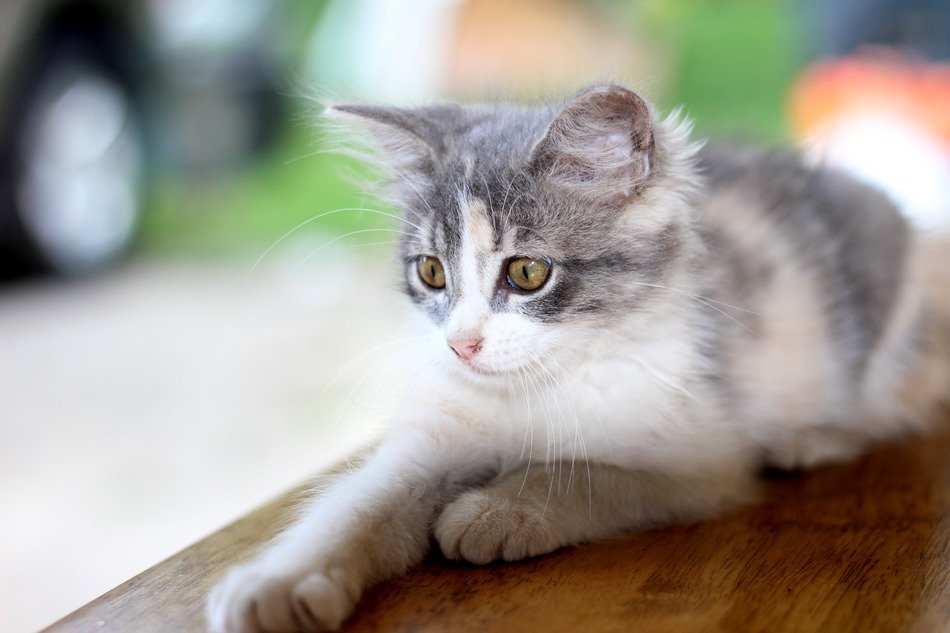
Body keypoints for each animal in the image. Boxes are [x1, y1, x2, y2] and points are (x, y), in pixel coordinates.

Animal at [205, 85, 948, 632]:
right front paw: (276, 583)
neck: (529, 388)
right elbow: (355, 506)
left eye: (527, 272)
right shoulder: (429, 434)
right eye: (432, 272)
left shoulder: (702, 454)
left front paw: (496, 511)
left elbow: (585, 473)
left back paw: (810, 437)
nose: (461, 343)